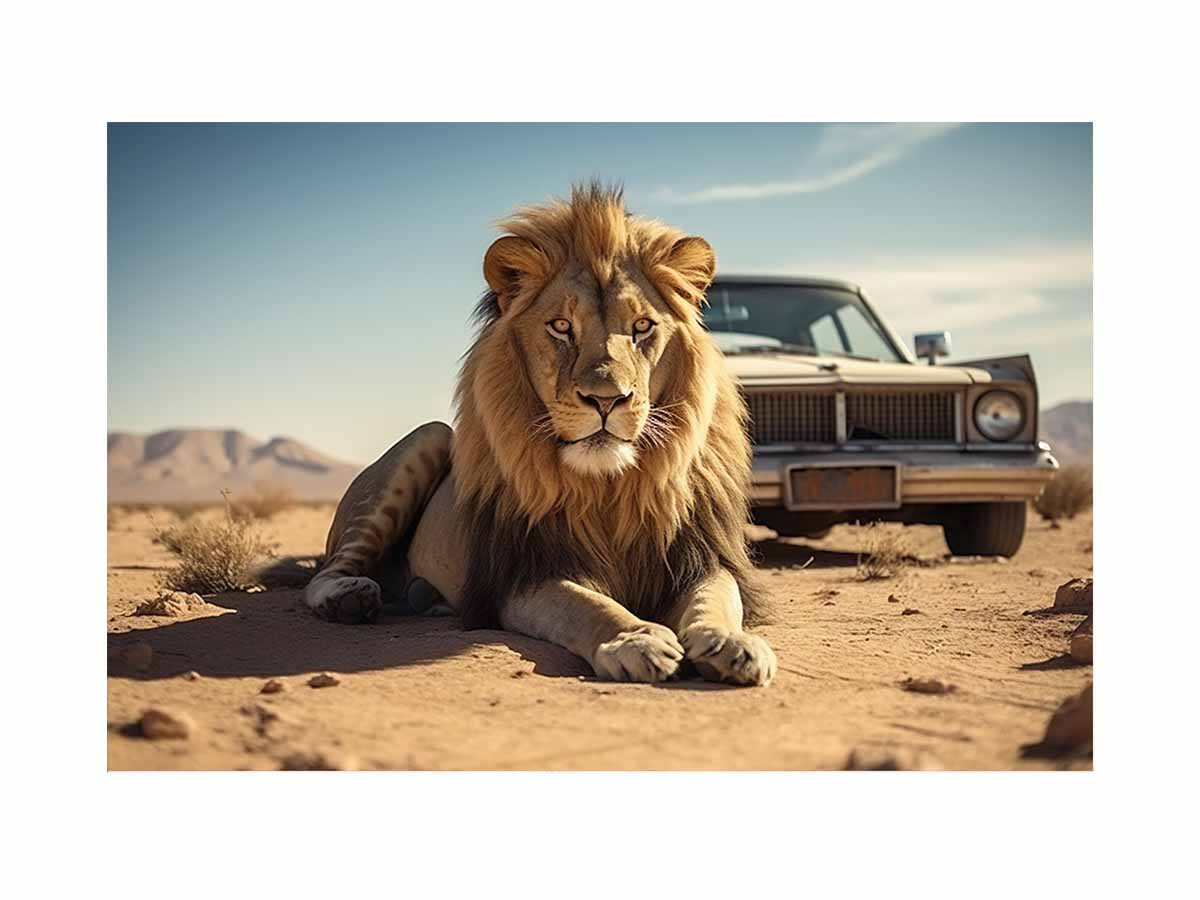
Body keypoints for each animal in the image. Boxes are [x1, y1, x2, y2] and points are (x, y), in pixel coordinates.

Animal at [303, 182, 776, 686]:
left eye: (642, 327)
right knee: (323, 571)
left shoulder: (700, 557)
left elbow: (717, 599)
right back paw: (348, 597)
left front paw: (732, 643)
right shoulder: (523, 576)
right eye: (562, 327)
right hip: (426, 439)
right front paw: (635, 640)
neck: (610, 489)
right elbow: (588, 606)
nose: (606, 399)